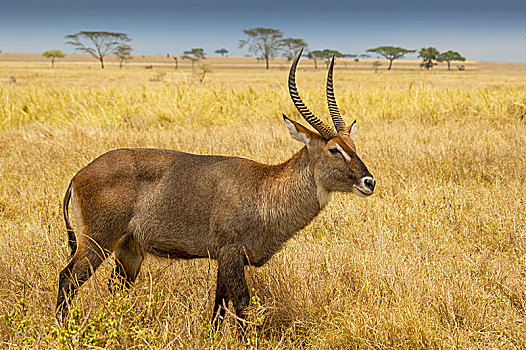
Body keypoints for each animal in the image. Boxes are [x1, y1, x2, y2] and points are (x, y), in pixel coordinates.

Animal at [55, 49, 378, 328]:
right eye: (335, 149)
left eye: (354, 145)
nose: (369, 182)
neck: (264, 187)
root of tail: (78, 175)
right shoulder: (231, 252)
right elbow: (242, 302)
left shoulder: (224, 259)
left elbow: (219, 306)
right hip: (98, 241)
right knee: (68, 278)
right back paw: (62, 328)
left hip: (129, 251)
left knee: (115, 288)